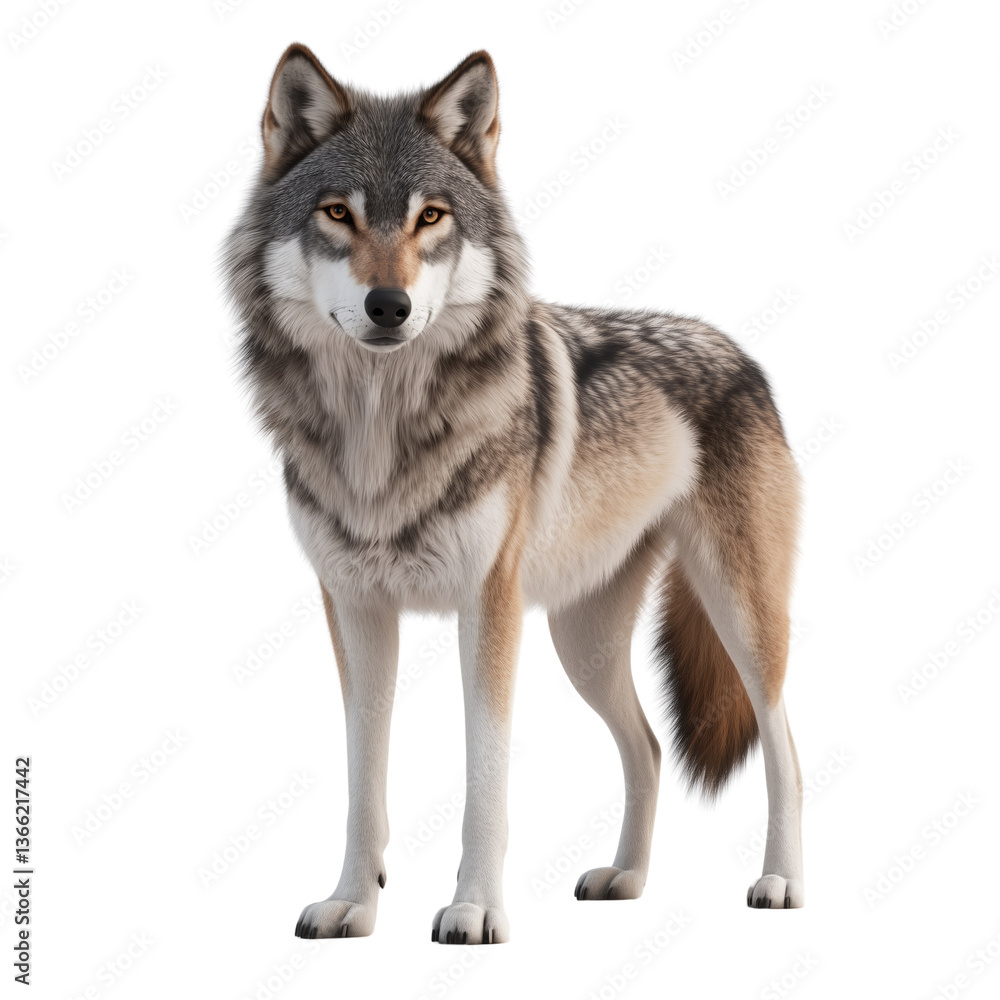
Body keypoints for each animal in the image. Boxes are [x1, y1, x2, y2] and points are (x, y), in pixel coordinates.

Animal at [223, 44, 805, 943]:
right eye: (337, 214)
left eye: (430, 217)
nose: (387, 306)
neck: (381, 433)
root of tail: (738, 352)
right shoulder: (355, 609)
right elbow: (363, 778)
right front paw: (354, 901)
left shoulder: (487, 607)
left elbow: (484, 781)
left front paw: (473, 909)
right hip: (584, 644)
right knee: (648, 747)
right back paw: (626, 878)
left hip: (740, 620)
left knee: (787, 751)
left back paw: (780, 881)